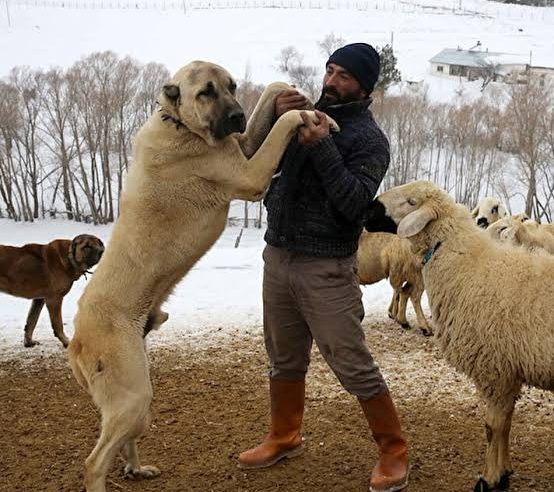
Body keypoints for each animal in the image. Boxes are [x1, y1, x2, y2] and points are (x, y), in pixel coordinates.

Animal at [69, 61, 336, 492]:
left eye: (232, 87)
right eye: (205, 92)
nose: (235, 115)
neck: (179, 124)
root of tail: (76, 341)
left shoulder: (241, 146)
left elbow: (268, 103)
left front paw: (289, 91)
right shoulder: (249, 174)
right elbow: (282, 125)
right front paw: (308, 116)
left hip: (137, 401)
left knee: (121, 446)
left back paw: (137, 469)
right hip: (132, 397)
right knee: (94, 462)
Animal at [364, 181, 548, 492]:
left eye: (411, 202)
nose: (367, 209)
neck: (467, 265)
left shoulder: (495, 370)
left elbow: (492, 427)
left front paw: (490, 478)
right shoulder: (508, 372)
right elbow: (507, 425)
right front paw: (505, 470)